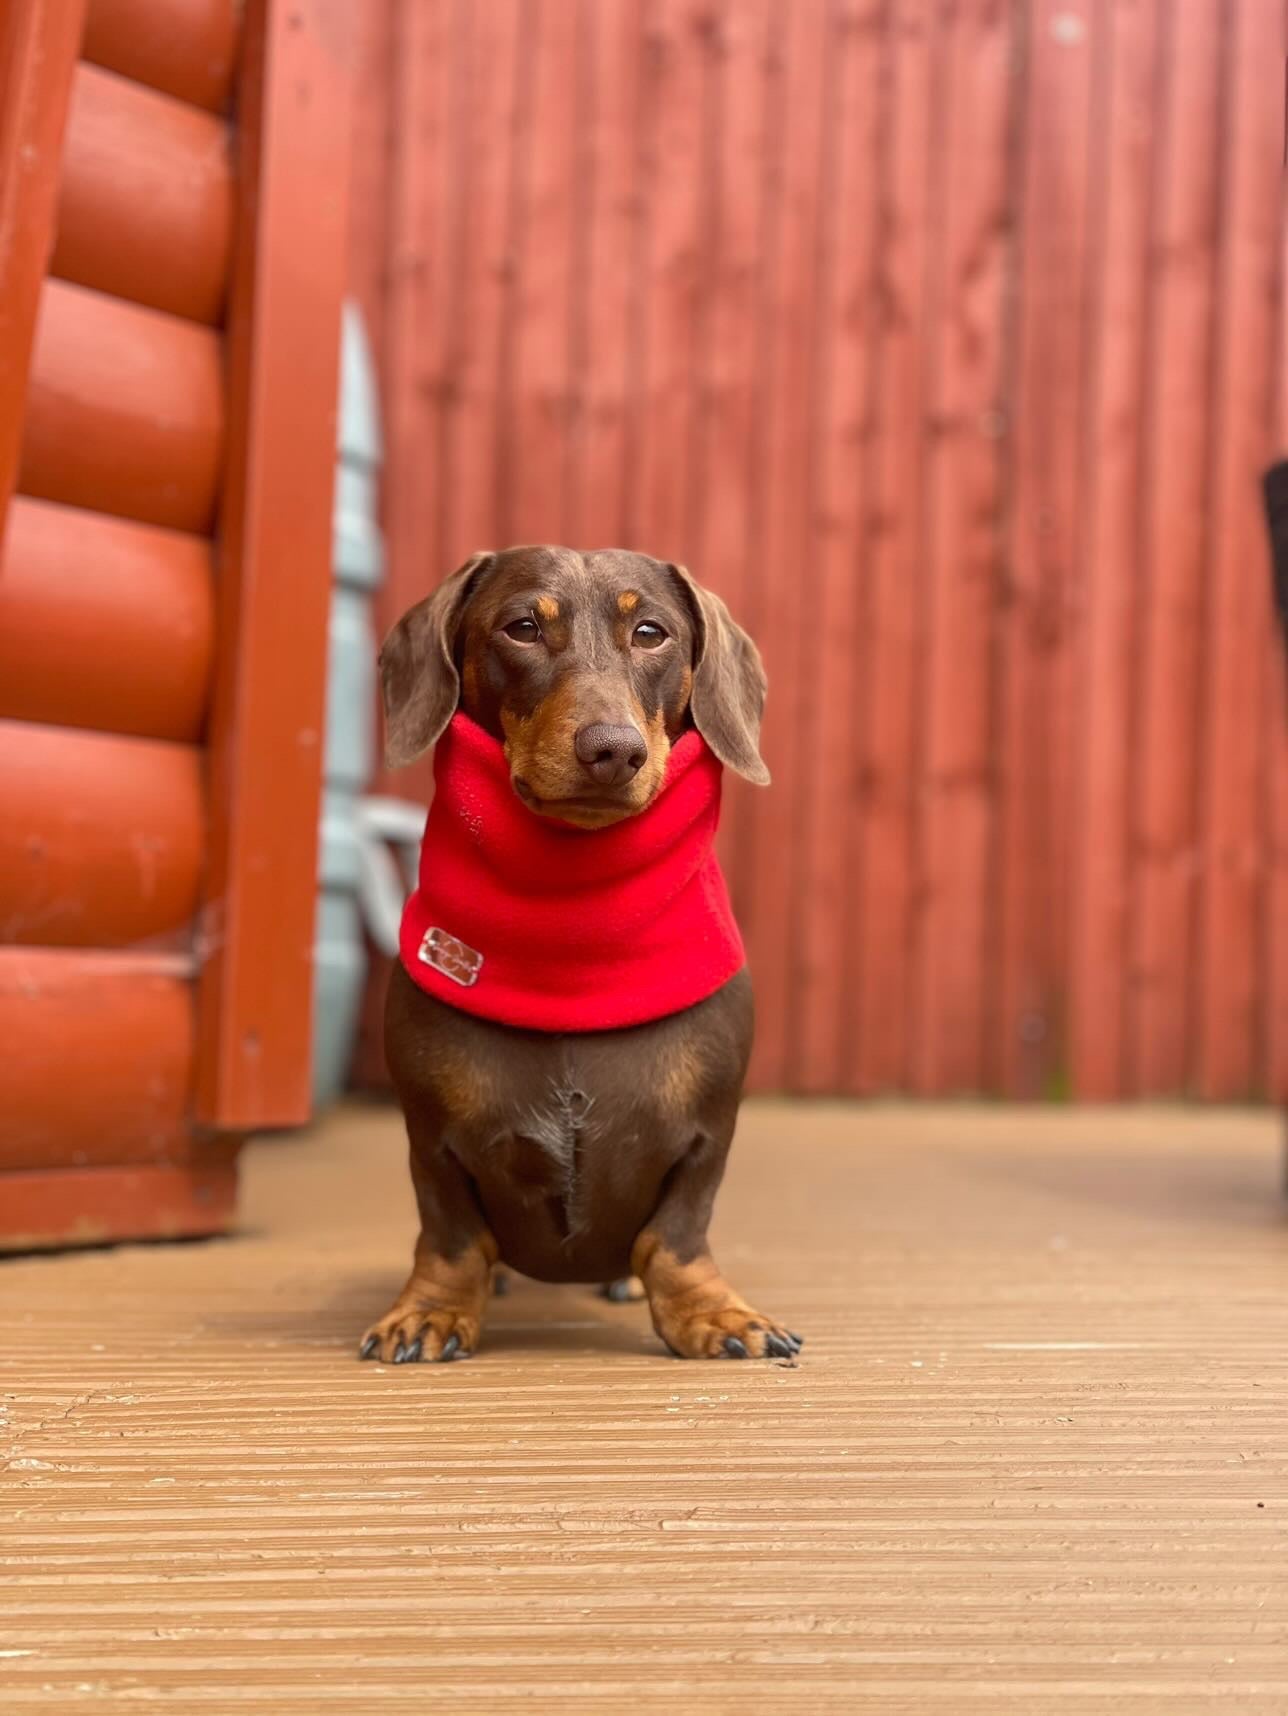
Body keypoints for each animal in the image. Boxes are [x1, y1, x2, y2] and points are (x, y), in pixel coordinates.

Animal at [363, 549, 802, 1365]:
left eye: (652, 631)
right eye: (523, 627)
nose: (612, 750)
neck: (580, 950)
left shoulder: (709, 1136)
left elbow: (677, 1237)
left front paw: (715, 1313)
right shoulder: (430, 1139)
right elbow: (451, 1237)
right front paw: (431, 1310)